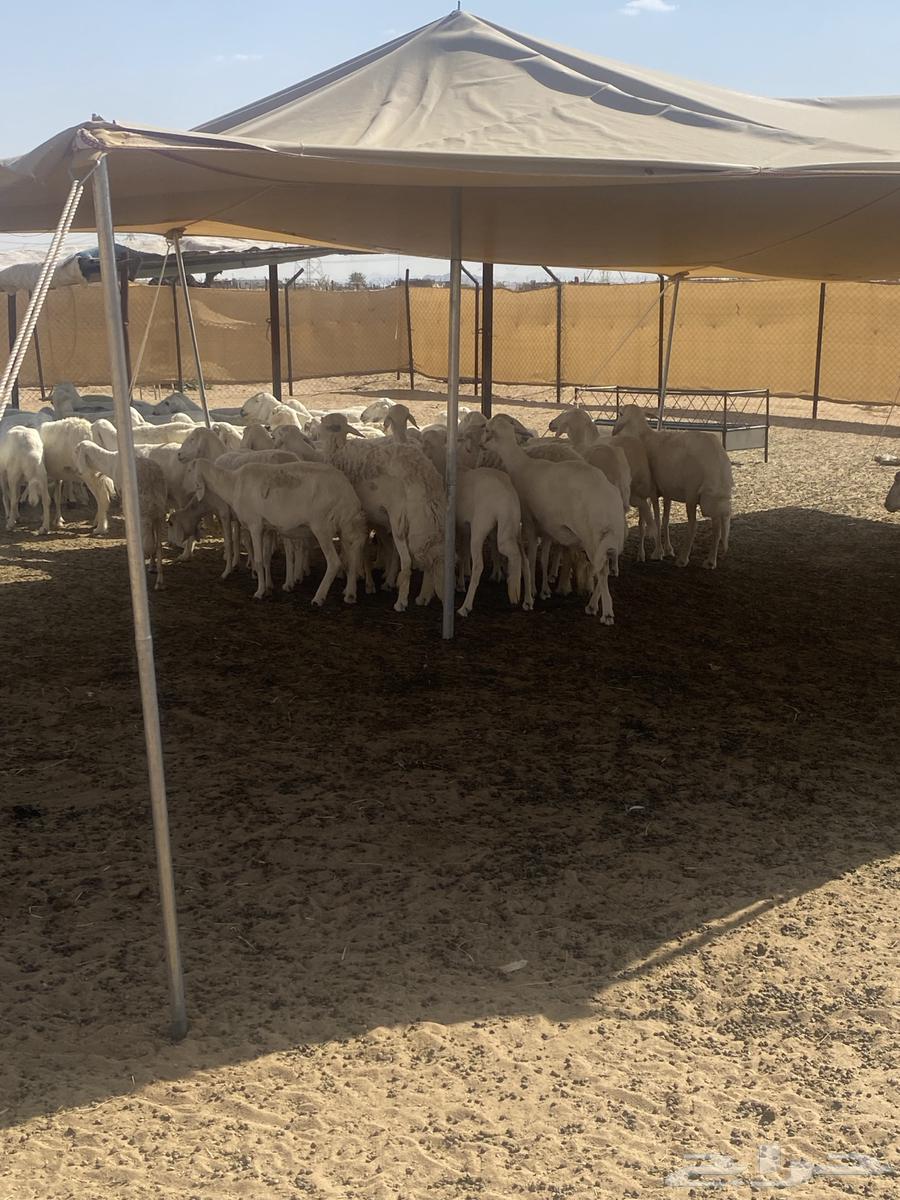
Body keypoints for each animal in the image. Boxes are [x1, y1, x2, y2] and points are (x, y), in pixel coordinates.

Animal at [73, 441, 167, 587]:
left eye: (77, 451)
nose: (77, 471)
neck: (110, 461)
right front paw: (152, 566)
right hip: (159, 513)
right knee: (158, 545)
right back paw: (159, 579)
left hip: (144, 513)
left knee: (148, 544)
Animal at [186, 457, 367, 605]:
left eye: (190, 469)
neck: (233, 484)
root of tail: (349, 494)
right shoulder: (267, 529)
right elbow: (266, 559)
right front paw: (268, 587)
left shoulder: (255, 525)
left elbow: (259, 560)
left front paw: (259, 592)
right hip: (344, 525)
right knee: (352, 552)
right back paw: (350, 594)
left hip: (322, 526)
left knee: (335, 561)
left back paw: (318, 598)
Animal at [484, 414, 625, 622]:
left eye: (487, 429)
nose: (482, 445)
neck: (521, 464)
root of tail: (610, 501)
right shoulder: (548, 527)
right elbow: (543, 558)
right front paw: (544, 590)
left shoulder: (529, 522)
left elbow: (531, 557)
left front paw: (532, 593)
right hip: (604, 538)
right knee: (603, 568)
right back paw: (592, 605)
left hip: (592, 536)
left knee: (601, 569)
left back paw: (605, 613)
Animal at [612, 406, 733, 569]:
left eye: (620, 414)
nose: (614, 432)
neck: (643, 437)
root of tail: (718, 459)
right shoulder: (667, 491)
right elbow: (665, 520)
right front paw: (668, 549)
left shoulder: (653, 491)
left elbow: (656, 520)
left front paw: (658, 552)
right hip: (713, 499)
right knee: (717, 527)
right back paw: (710, 561)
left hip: (692, 494)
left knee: (693, 525)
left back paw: (683, 559)